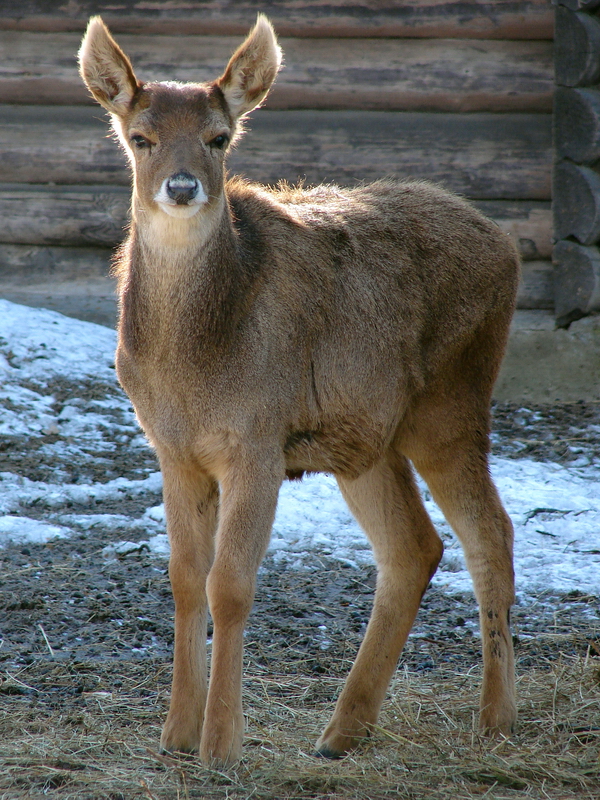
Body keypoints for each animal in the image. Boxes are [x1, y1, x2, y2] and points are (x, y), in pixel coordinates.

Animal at [78, 15, 520, 768]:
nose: (183, 188)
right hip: (364, 440)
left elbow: (230, 585)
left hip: (453, 402)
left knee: (490, 532)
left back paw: (495, 720)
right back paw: (342, 731)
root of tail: (512, 249)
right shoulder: (171, 448)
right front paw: (174, 734)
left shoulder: (257, 438)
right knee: (415, 547)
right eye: (141, 136)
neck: (193, 369)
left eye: (219, 137)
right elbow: (184, 579)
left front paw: (221, 743)